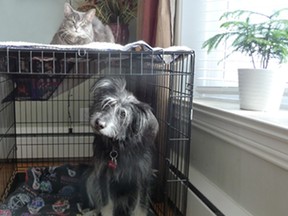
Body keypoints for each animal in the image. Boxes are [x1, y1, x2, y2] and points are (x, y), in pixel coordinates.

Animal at [84, 77, 159, 215]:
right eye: (107, 104)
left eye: (123, 114)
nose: (98, 123)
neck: (119, 146)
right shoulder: (103, 173)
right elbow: (106, 203)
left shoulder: (143, 176)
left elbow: (140, 205)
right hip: (91, 179)